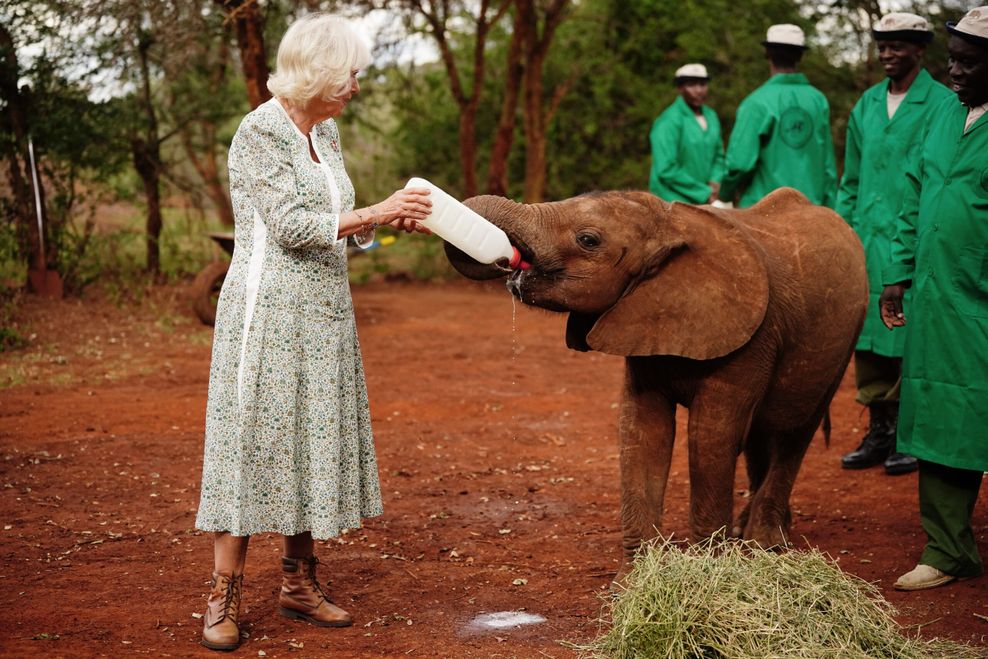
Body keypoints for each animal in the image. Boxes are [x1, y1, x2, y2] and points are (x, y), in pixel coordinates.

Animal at [444, 188, 868, 568]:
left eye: (588, 240)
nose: (507, 261)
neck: (669, 224)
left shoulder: (753, 340)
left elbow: (711, 437)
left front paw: (708, 571)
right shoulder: (642, 317)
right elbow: (643, 428)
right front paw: (639, 575)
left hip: (844, 340)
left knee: (795, 431)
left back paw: (765, 542)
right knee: (763, 434)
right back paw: (752, 531)